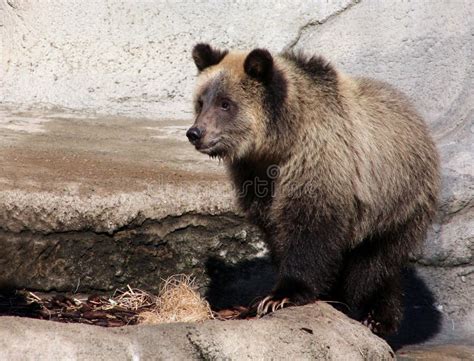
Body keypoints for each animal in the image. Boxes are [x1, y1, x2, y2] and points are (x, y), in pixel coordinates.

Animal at [185, 43, 440, 334]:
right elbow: (277, 231)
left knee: (374, 263)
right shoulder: (258, 179)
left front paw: (280, 296)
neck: (279, 143)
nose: (195, 133)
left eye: (226, 103)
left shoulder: (318, 161)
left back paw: (375, 316)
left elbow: (309, 229)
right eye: (201, 102)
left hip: (396, 199)